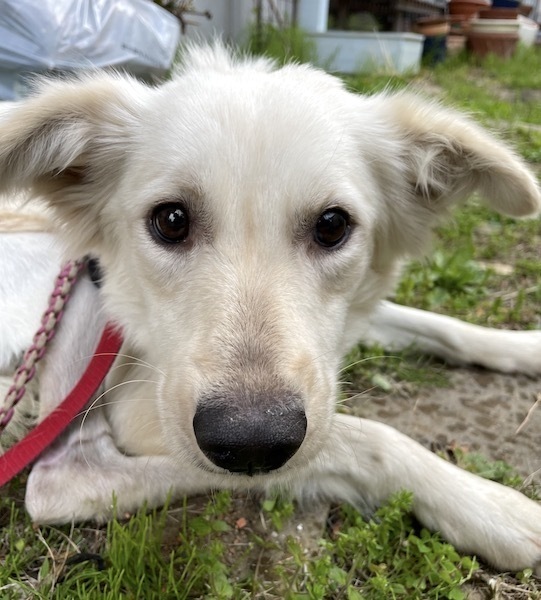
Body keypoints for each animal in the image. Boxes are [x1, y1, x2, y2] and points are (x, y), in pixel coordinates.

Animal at [0, 44, 541, 574]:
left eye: (332, 225)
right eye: (171, 220)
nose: (251, 443)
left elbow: (440, 326)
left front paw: (525, 347)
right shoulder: (143, 403)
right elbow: (368, 438)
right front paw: (488, 506)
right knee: (65, 480)